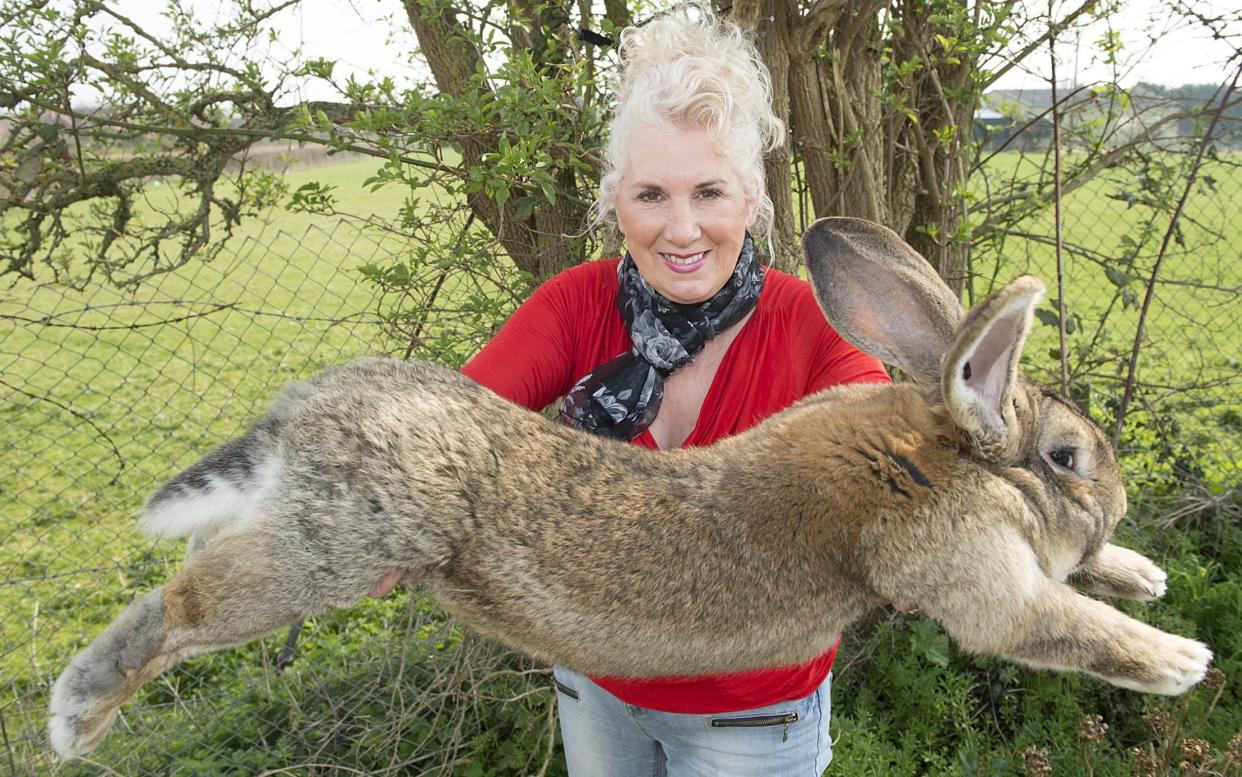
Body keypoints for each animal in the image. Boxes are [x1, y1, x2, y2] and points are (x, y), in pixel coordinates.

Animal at [48, 215, 1212, 754]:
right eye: (1067, 458)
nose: (1116, 501)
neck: (938, 452)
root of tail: (305, 413)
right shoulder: (972, 573)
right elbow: (1058, 625)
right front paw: (1179, 658)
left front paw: (1142, 573)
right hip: (335, 550)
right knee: (180, 606)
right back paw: (76, 719)